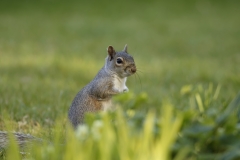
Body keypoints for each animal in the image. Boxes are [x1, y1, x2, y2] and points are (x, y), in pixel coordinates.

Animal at [0, 44, 137, 150]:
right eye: (119, 61)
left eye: (132, 57)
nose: (134, 70)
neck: (120, 79)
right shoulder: (100, 84)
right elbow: (102, 92)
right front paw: (120, 93)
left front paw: (127, 92)